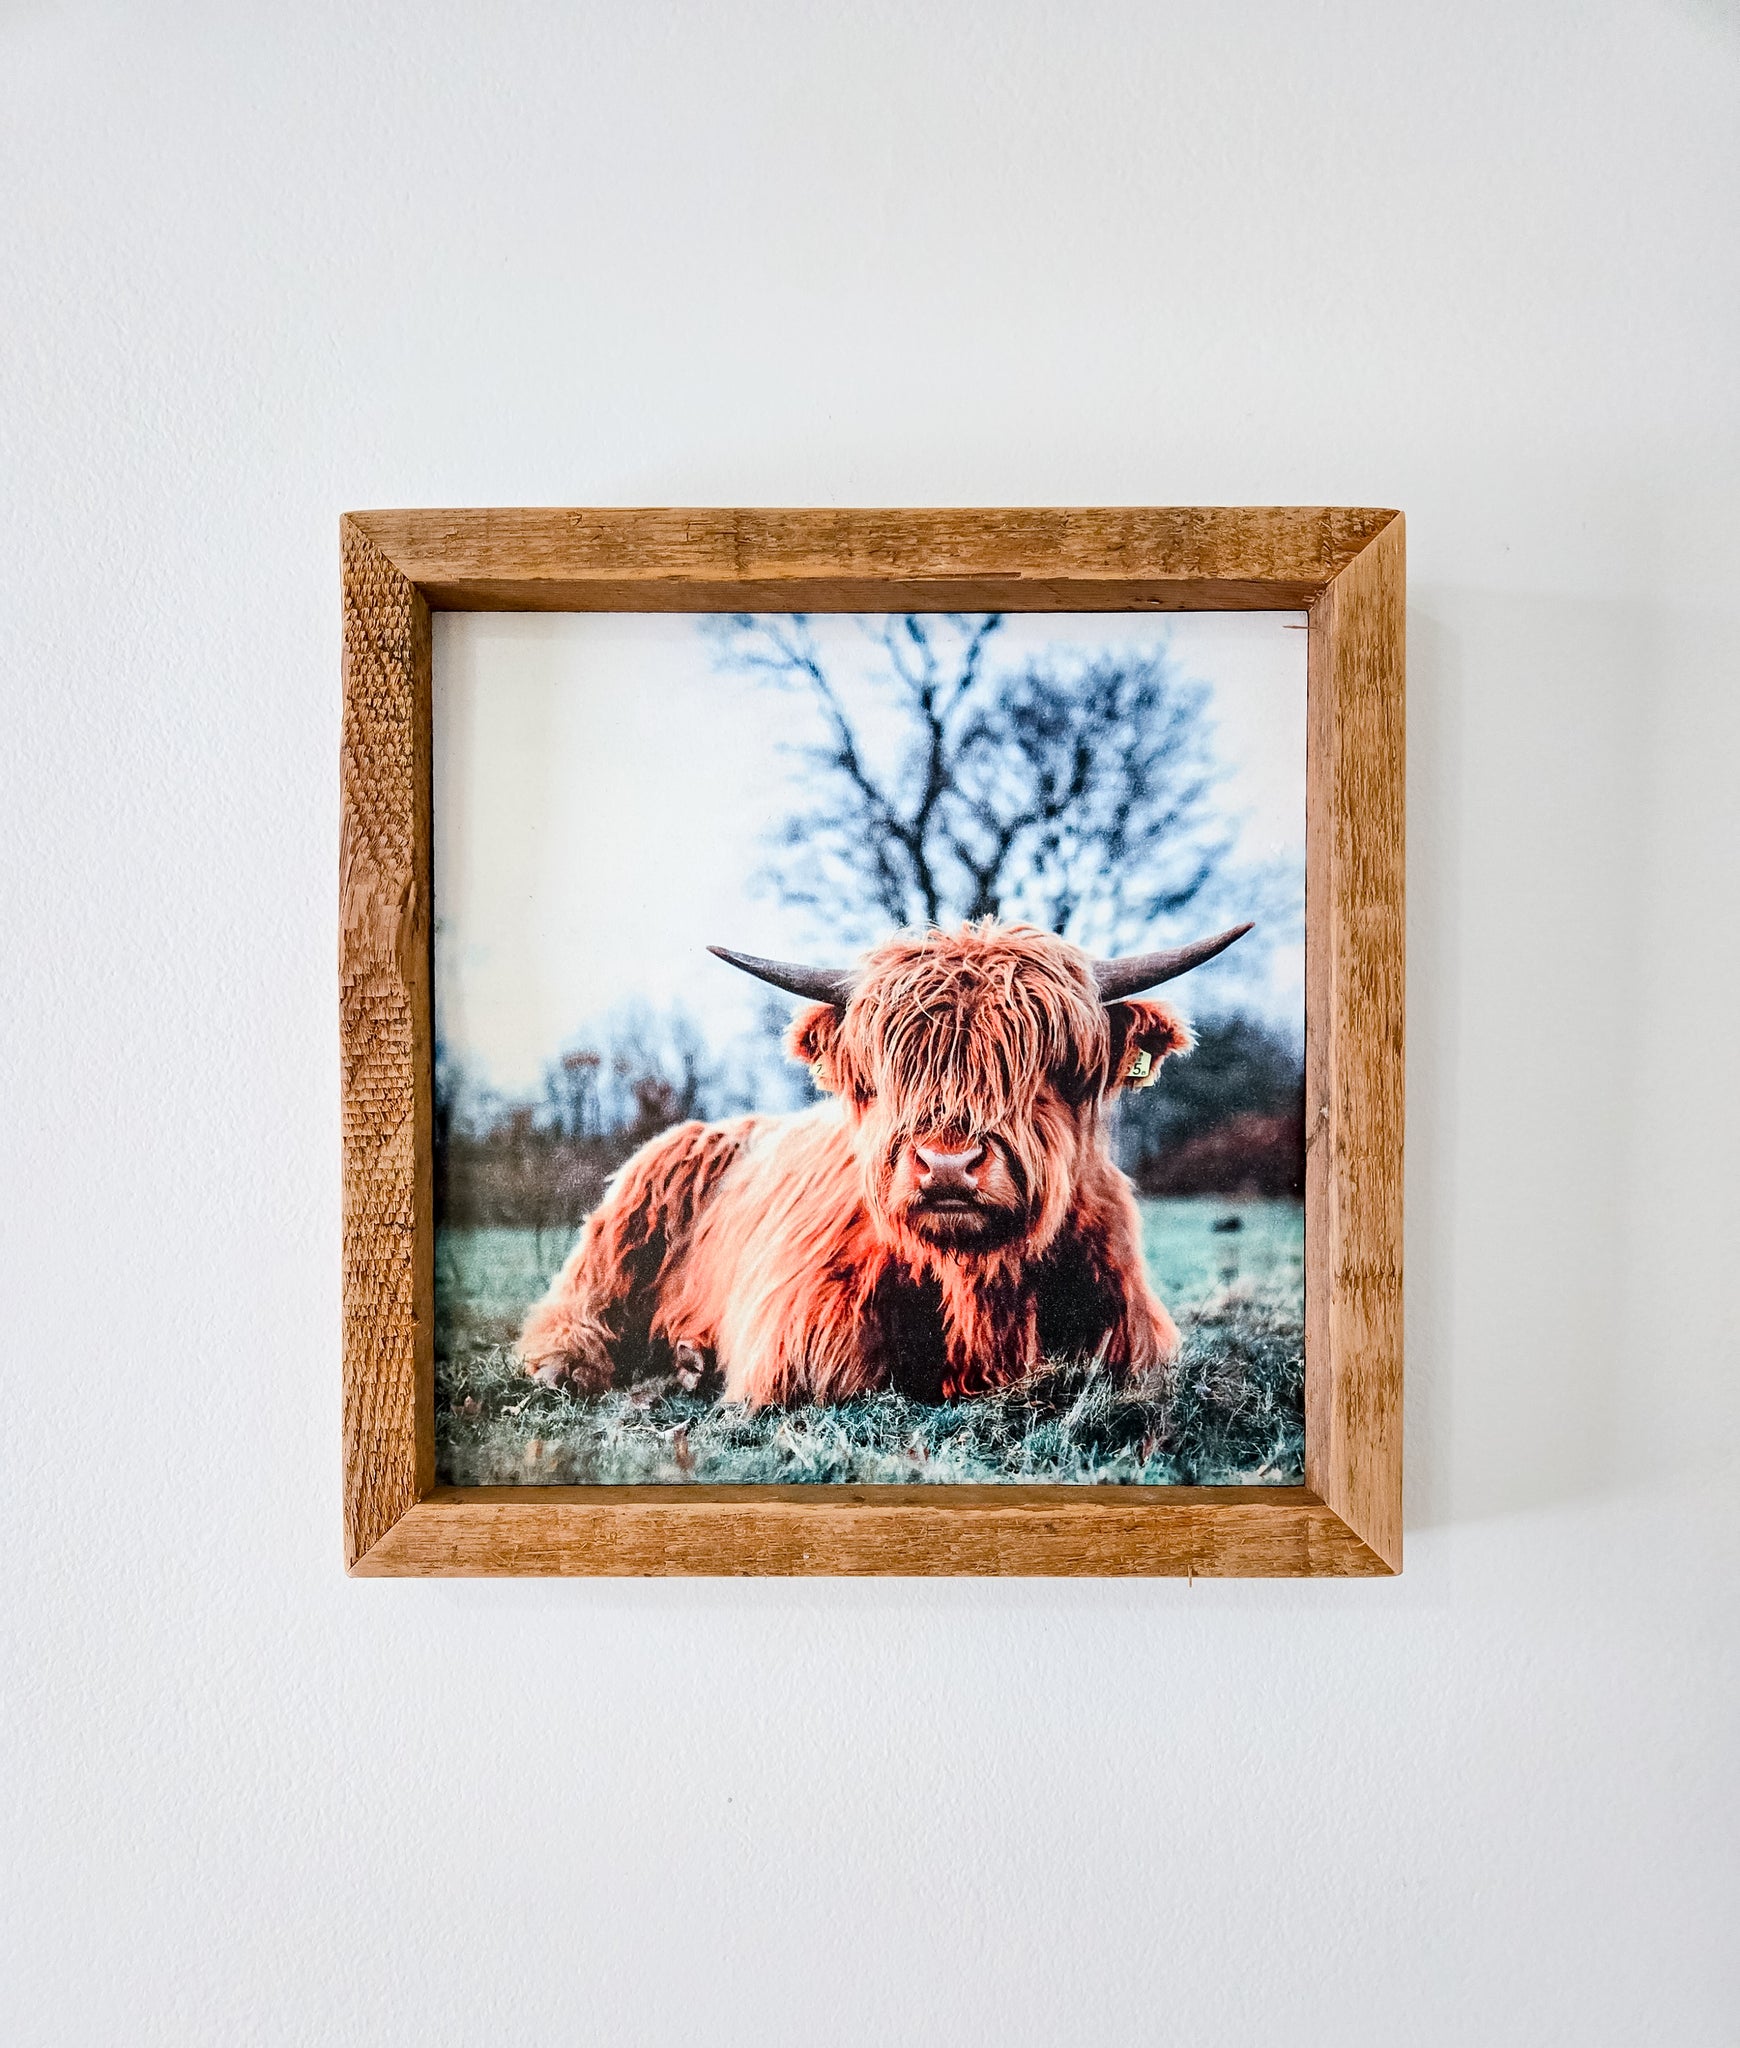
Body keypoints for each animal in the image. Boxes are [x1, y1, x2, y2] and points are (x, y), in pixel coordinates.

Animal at [515, 917, 1244, 1409]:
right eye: (892, 1070)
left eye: (1048, 1066)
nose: (947, 1165)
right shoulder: (801, 1336)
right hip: (627, 1220)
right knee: (577, 1305)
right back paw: (584, 1365)